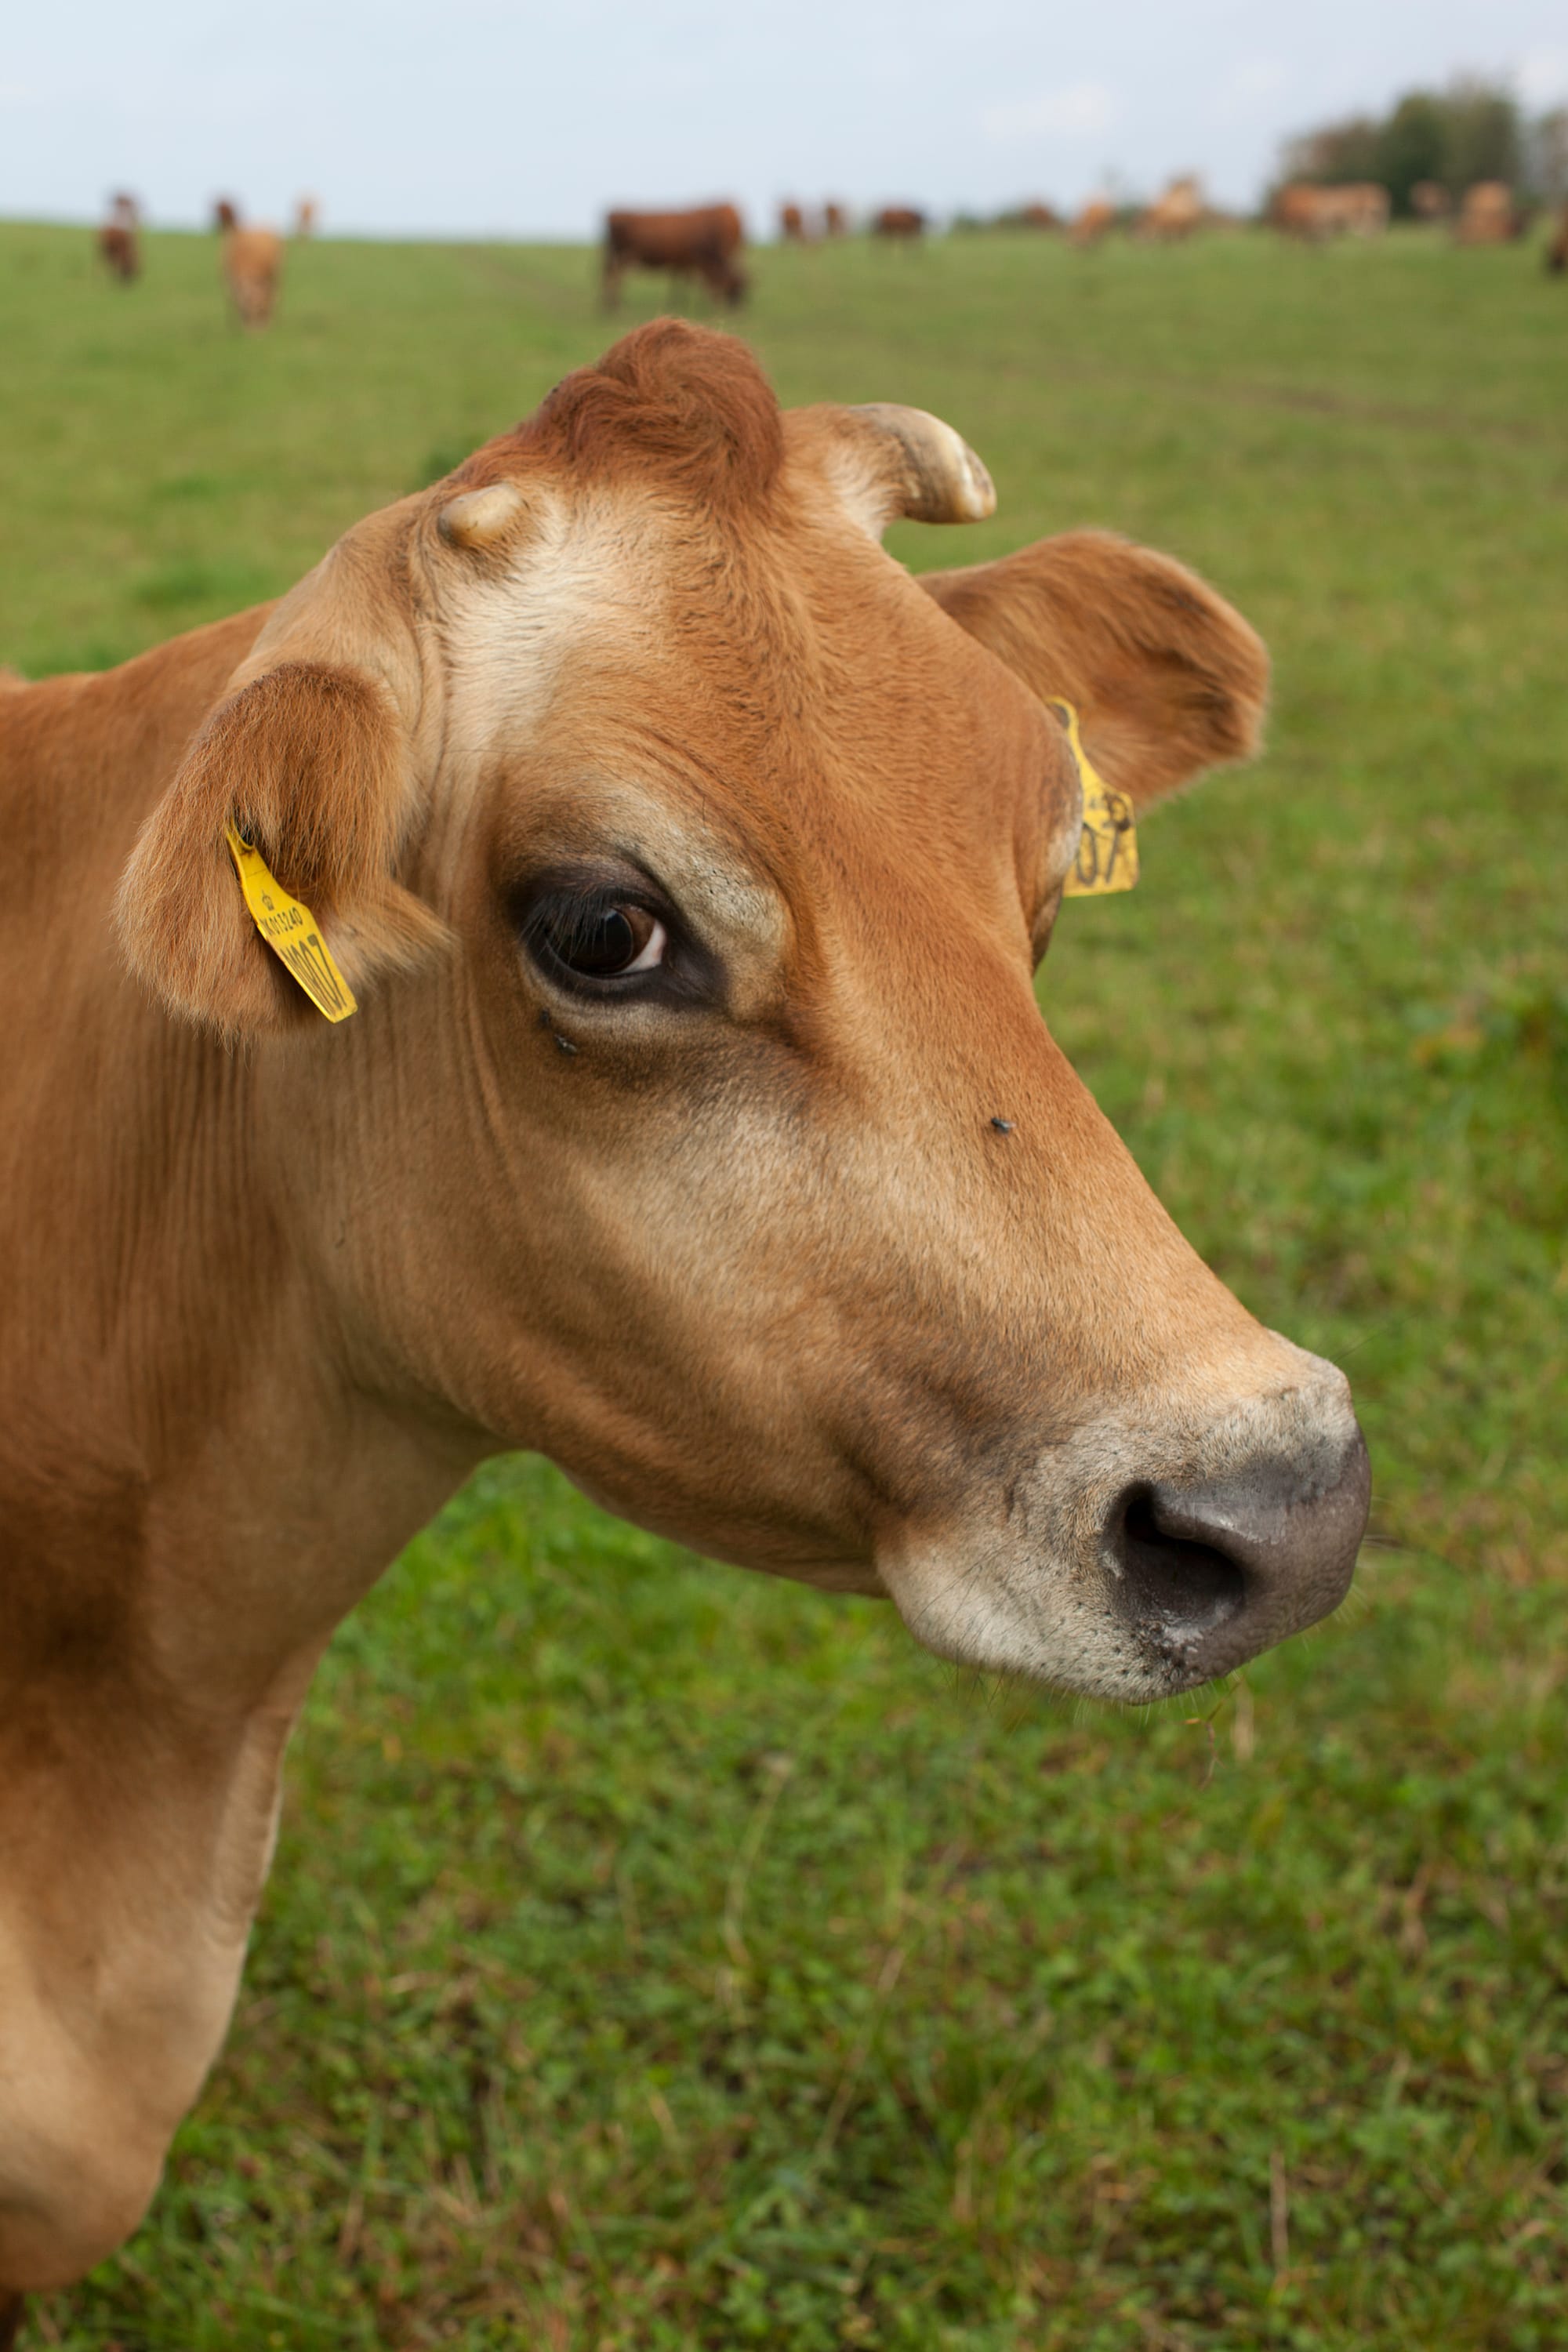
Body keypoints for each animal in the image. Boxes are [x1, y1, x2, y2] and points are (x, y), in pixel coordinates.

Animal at [603, 204, 747, 309]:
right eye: (736, 285)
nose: (737, 307)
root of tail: (613, 215)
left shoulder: (684, 262)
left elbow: (680, 281)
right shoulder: (688, 262)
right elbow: (682, 282)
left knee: (612, 277)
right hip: (621, 256)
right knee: (614, 277)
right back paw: (613, 306)